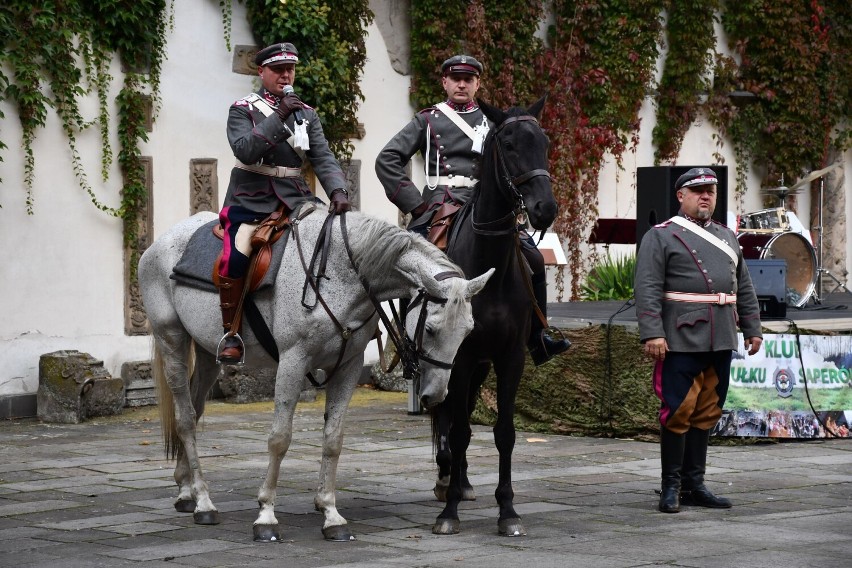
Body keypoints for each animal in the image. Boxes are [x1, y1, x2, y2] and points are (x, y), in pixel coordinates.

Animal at [136, 207, 490, 540]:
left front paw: (330, 513)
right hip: (172, 340)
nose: (437, 395)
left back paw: (187, 491)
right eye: (430, 329)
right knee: (184, 418)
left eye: (468, 331)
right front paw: (266, 515)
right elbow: (280, 438)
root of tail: (157, 244)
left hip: (208, 353)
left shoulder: (348, 367)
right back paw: (204, 502)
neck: (341, 273)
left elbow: (333, 439)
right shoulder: (293, 361)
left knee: (194, 411)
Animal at [432, 95, 560, 536]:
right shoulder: (460, 357)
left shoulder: (509, 357)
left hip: (482, 366)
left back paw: (459, 477)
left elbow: (503, 431)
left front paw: (507, 509)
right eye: (508, 144)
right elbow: (459, 430)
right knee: (448, 416)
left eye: (545, 142)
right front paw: (449, 511)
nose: (545, 209)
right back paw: (447, 476)